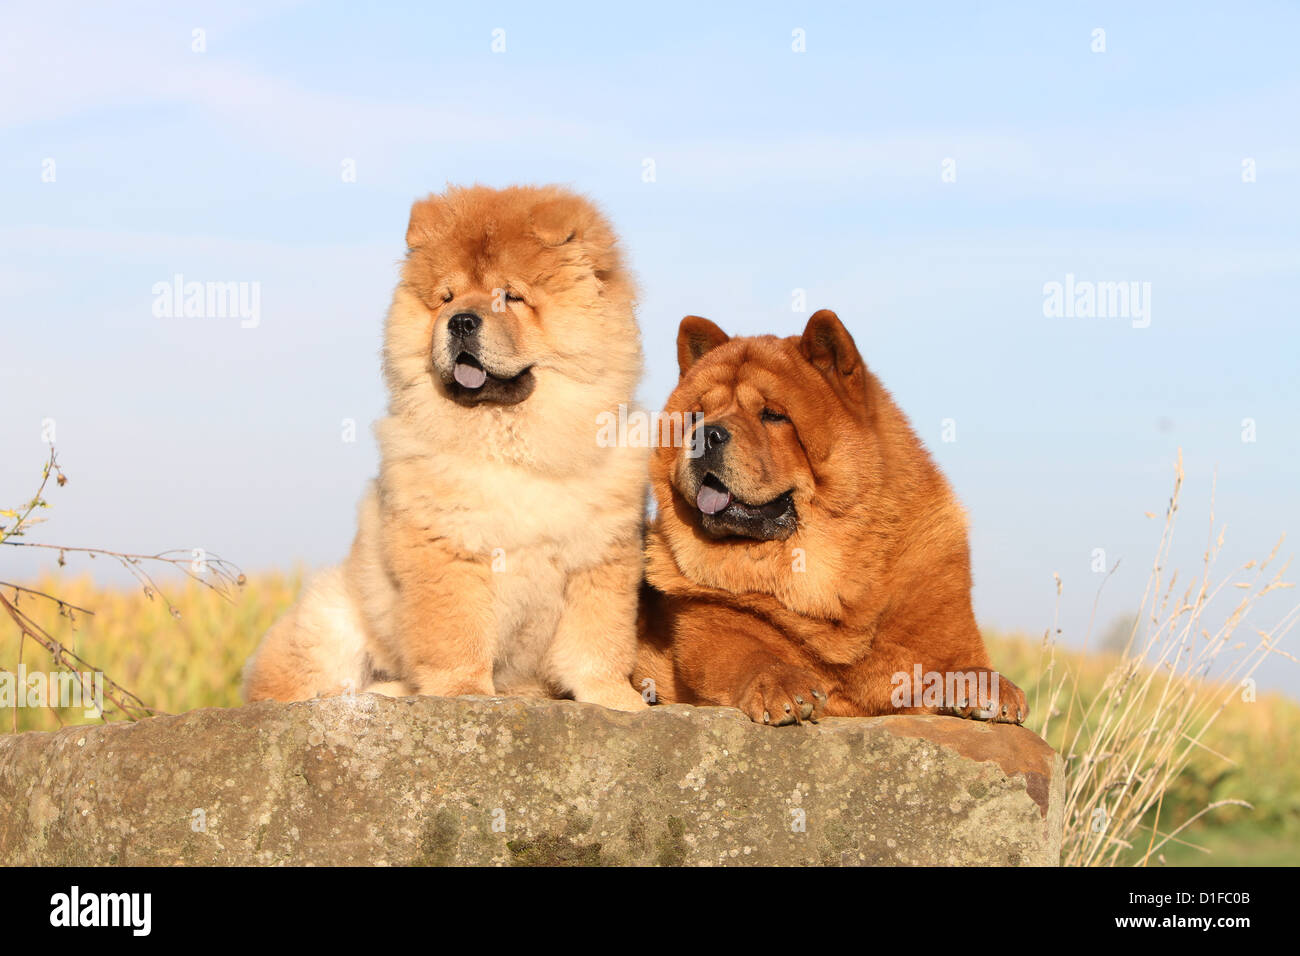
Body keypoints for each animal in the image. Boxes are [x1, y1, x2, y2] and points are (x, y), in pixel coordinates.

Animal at [241, 184, 647, 712]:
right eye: (446, 298)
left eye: (510, 296)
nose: (460, 322)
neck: (511, 442)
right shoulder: (448, 549)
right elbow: (456, 634)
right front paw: (464, 693)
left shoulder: (599, 555)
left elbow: (598, 642)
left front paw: (617, 700)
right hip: (330, 617)